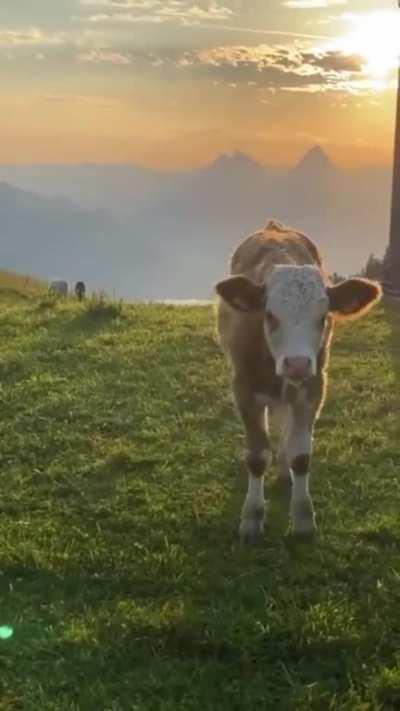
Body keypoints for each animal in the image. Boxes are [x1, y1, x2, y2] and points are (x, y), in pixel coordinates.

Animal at [215, 220, 381, 542]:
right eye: (269, 315)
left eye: (323, 317)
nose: (297, 363)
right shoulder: (243, 389)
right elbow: (256, 456)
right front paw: (252, 518)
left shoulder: (314, 387)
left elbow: (302, 455)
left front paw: (304, 519)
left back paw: (283, 469)